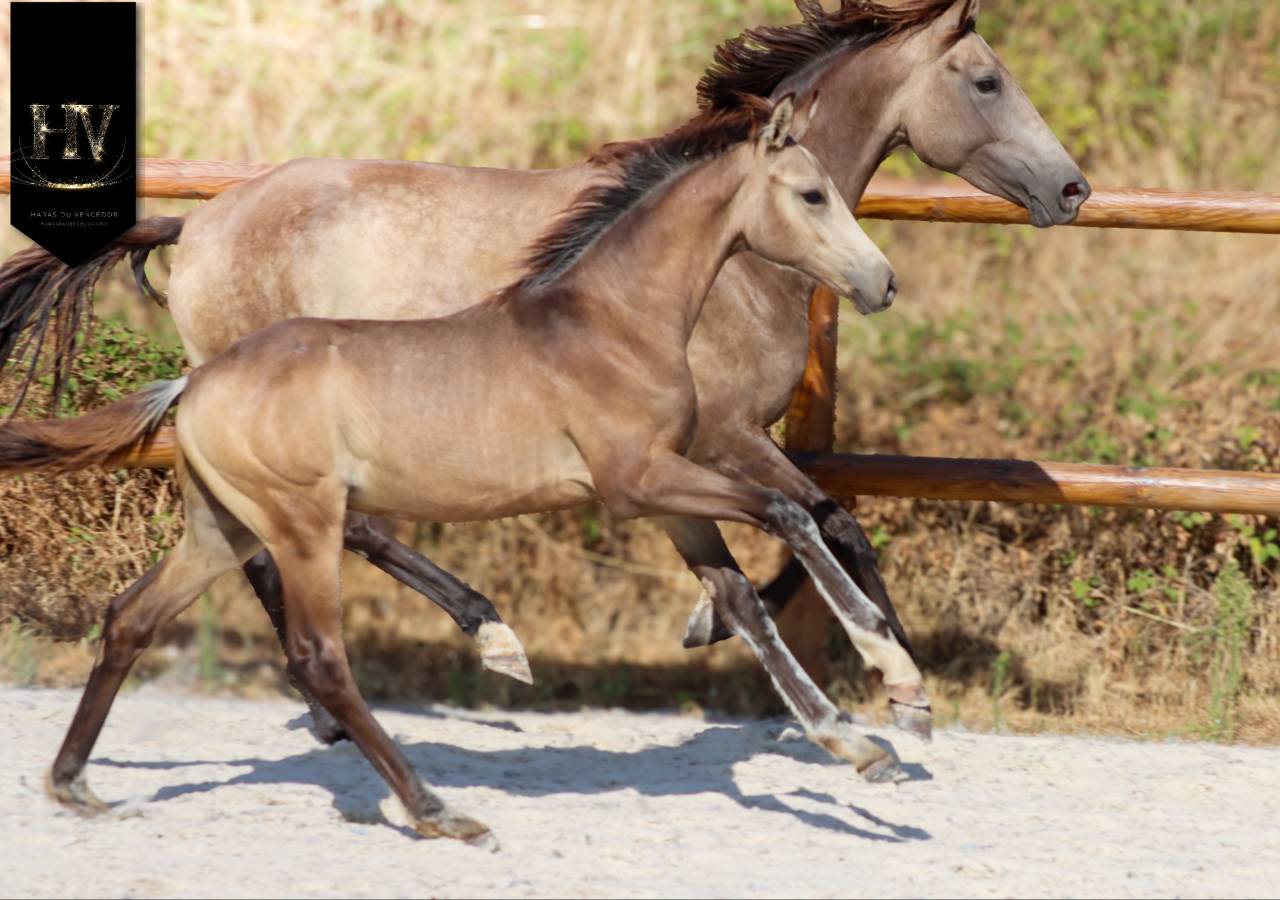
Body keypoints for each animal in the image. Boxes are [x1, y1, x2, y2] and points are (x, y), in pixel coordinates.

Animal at [0, 0, 1090, 739]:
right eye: (985, 80)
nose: (1073, 188)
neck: (729, 256)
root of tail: (197, 223)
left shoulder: (710, 444)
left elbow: (818, 524)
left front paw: (752, 632)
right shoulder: (723, 434)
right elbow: (827, 521)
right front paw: (893, 685)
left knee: (284, 546)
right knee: (328, 538)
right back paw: (475, 645)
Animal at [2, 95, 909, 844]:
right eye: (812, 194)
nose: (884, 282)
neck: (610, 320)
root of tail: (196, 381)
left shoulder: (668, 491)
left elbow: (742, 589)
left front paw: (856, 741)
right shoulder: (638, 481)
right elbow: (792, 516)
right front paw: (889, 668)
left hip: (220, 527)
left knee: (131, 617)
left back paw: (73, 785)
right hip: (302, 525)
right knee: (321, 656)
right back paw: (440, 807)